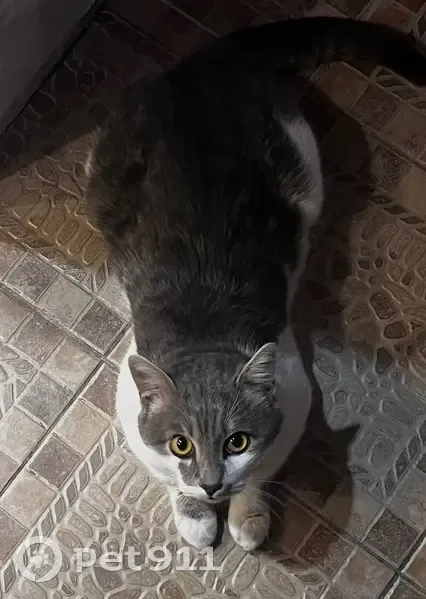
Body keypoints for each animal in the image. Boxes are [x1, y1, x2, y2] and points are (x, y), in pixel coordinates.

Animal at [86, 17, 426, 551]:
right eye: (180, 444)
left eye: (237, 442)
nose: (210, 486)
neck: (206, 333)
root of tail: (199, 69)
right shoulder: (128, 401)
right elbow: (164, 473)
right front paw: (195, 516)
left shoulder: (295, 393)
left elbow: (263, 470)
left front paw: (248, 516)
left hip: (303, 163)